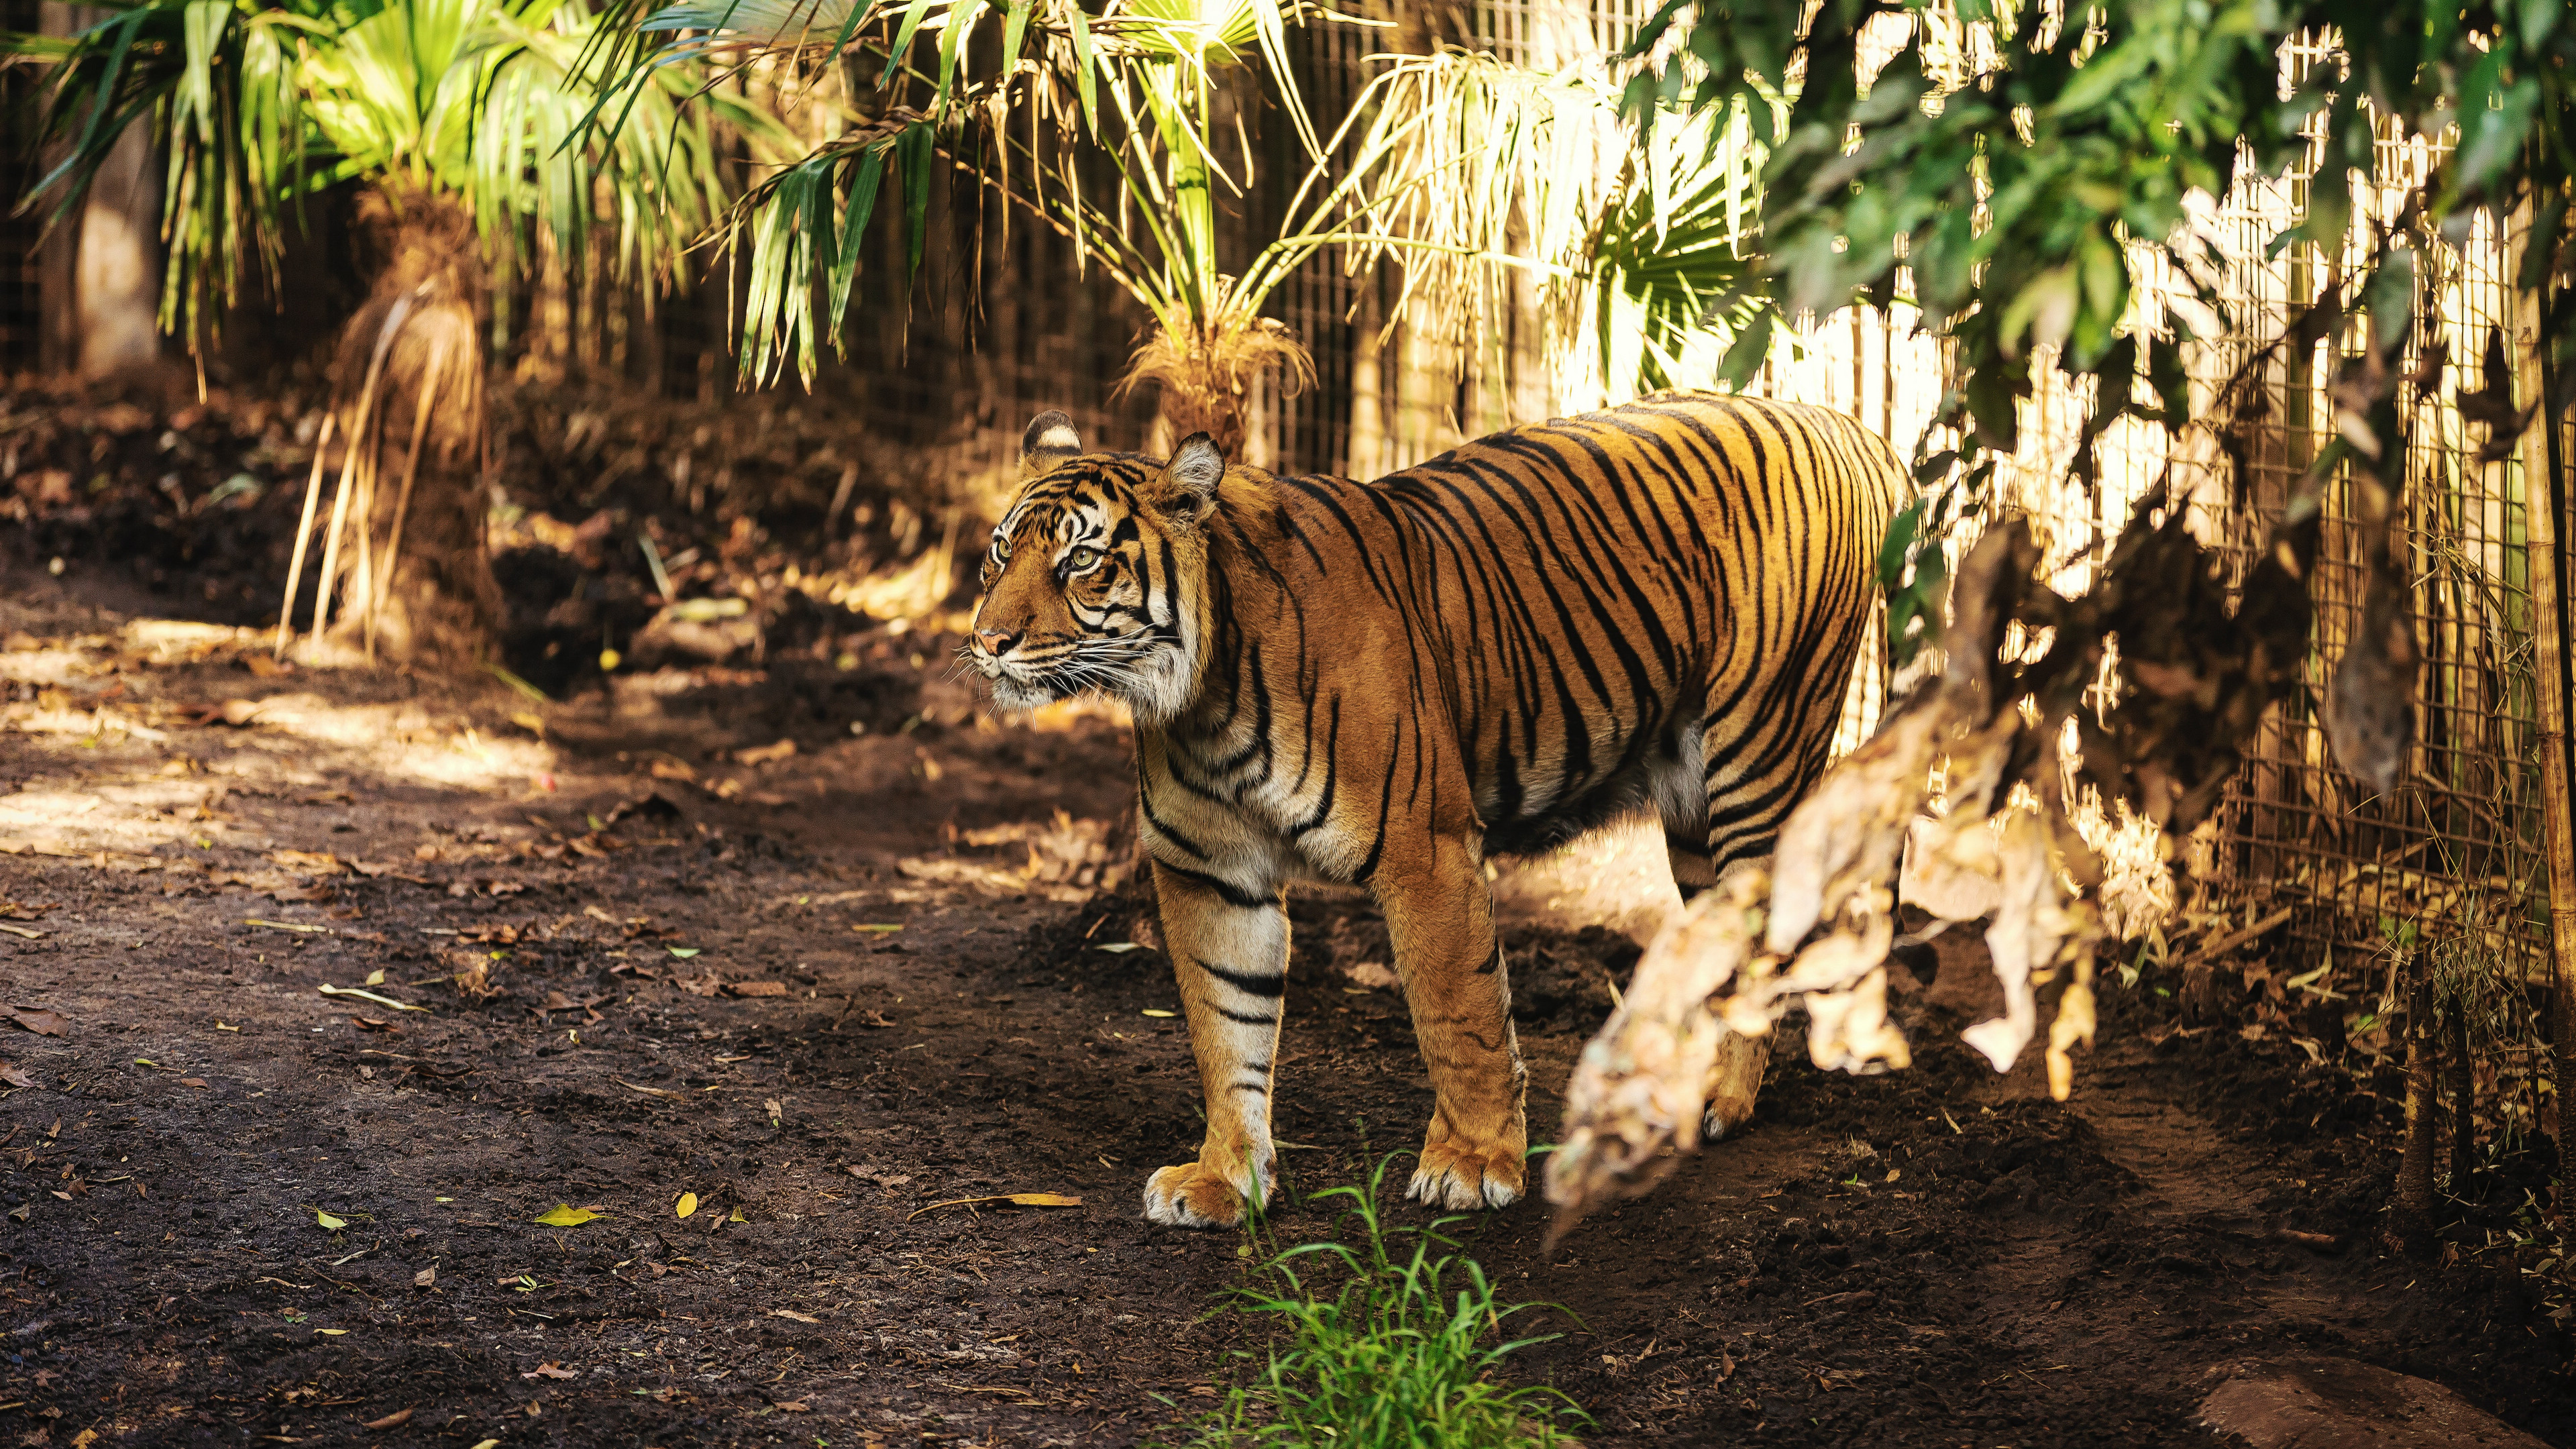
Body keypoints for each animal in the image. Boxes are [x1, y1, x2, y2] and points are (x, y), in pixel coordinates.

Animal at [968, 392, 1916, 1217]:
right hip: (1692, 805)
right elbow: (1225, 1022)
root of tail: (1847, 424)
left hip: (1758, 753)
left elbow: (1457, 1015)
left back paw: (1723, 1098)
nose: (987, 641)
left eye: (1082, 561)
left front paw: (1472, 1164)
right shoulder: (1207, 870)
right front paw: (1226, 1178)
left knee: (1783, 926)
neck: (1202, 701)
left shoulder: (1423, 849)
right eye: (999, 551)